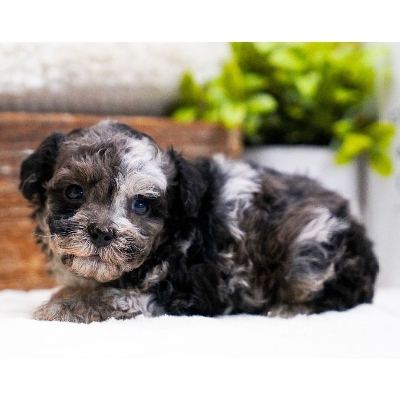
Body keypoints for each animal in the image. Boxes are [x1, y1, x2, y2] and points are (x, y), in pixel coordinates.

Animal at [19, 120, 378, 323]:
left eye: (141, 205)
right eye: (74, 192)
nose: (102, 233)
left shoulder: (183, 290)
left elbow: (117, 296)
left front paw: (63, 307)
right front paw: (67, 294)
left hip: (308, 254)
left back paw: (288, 309)